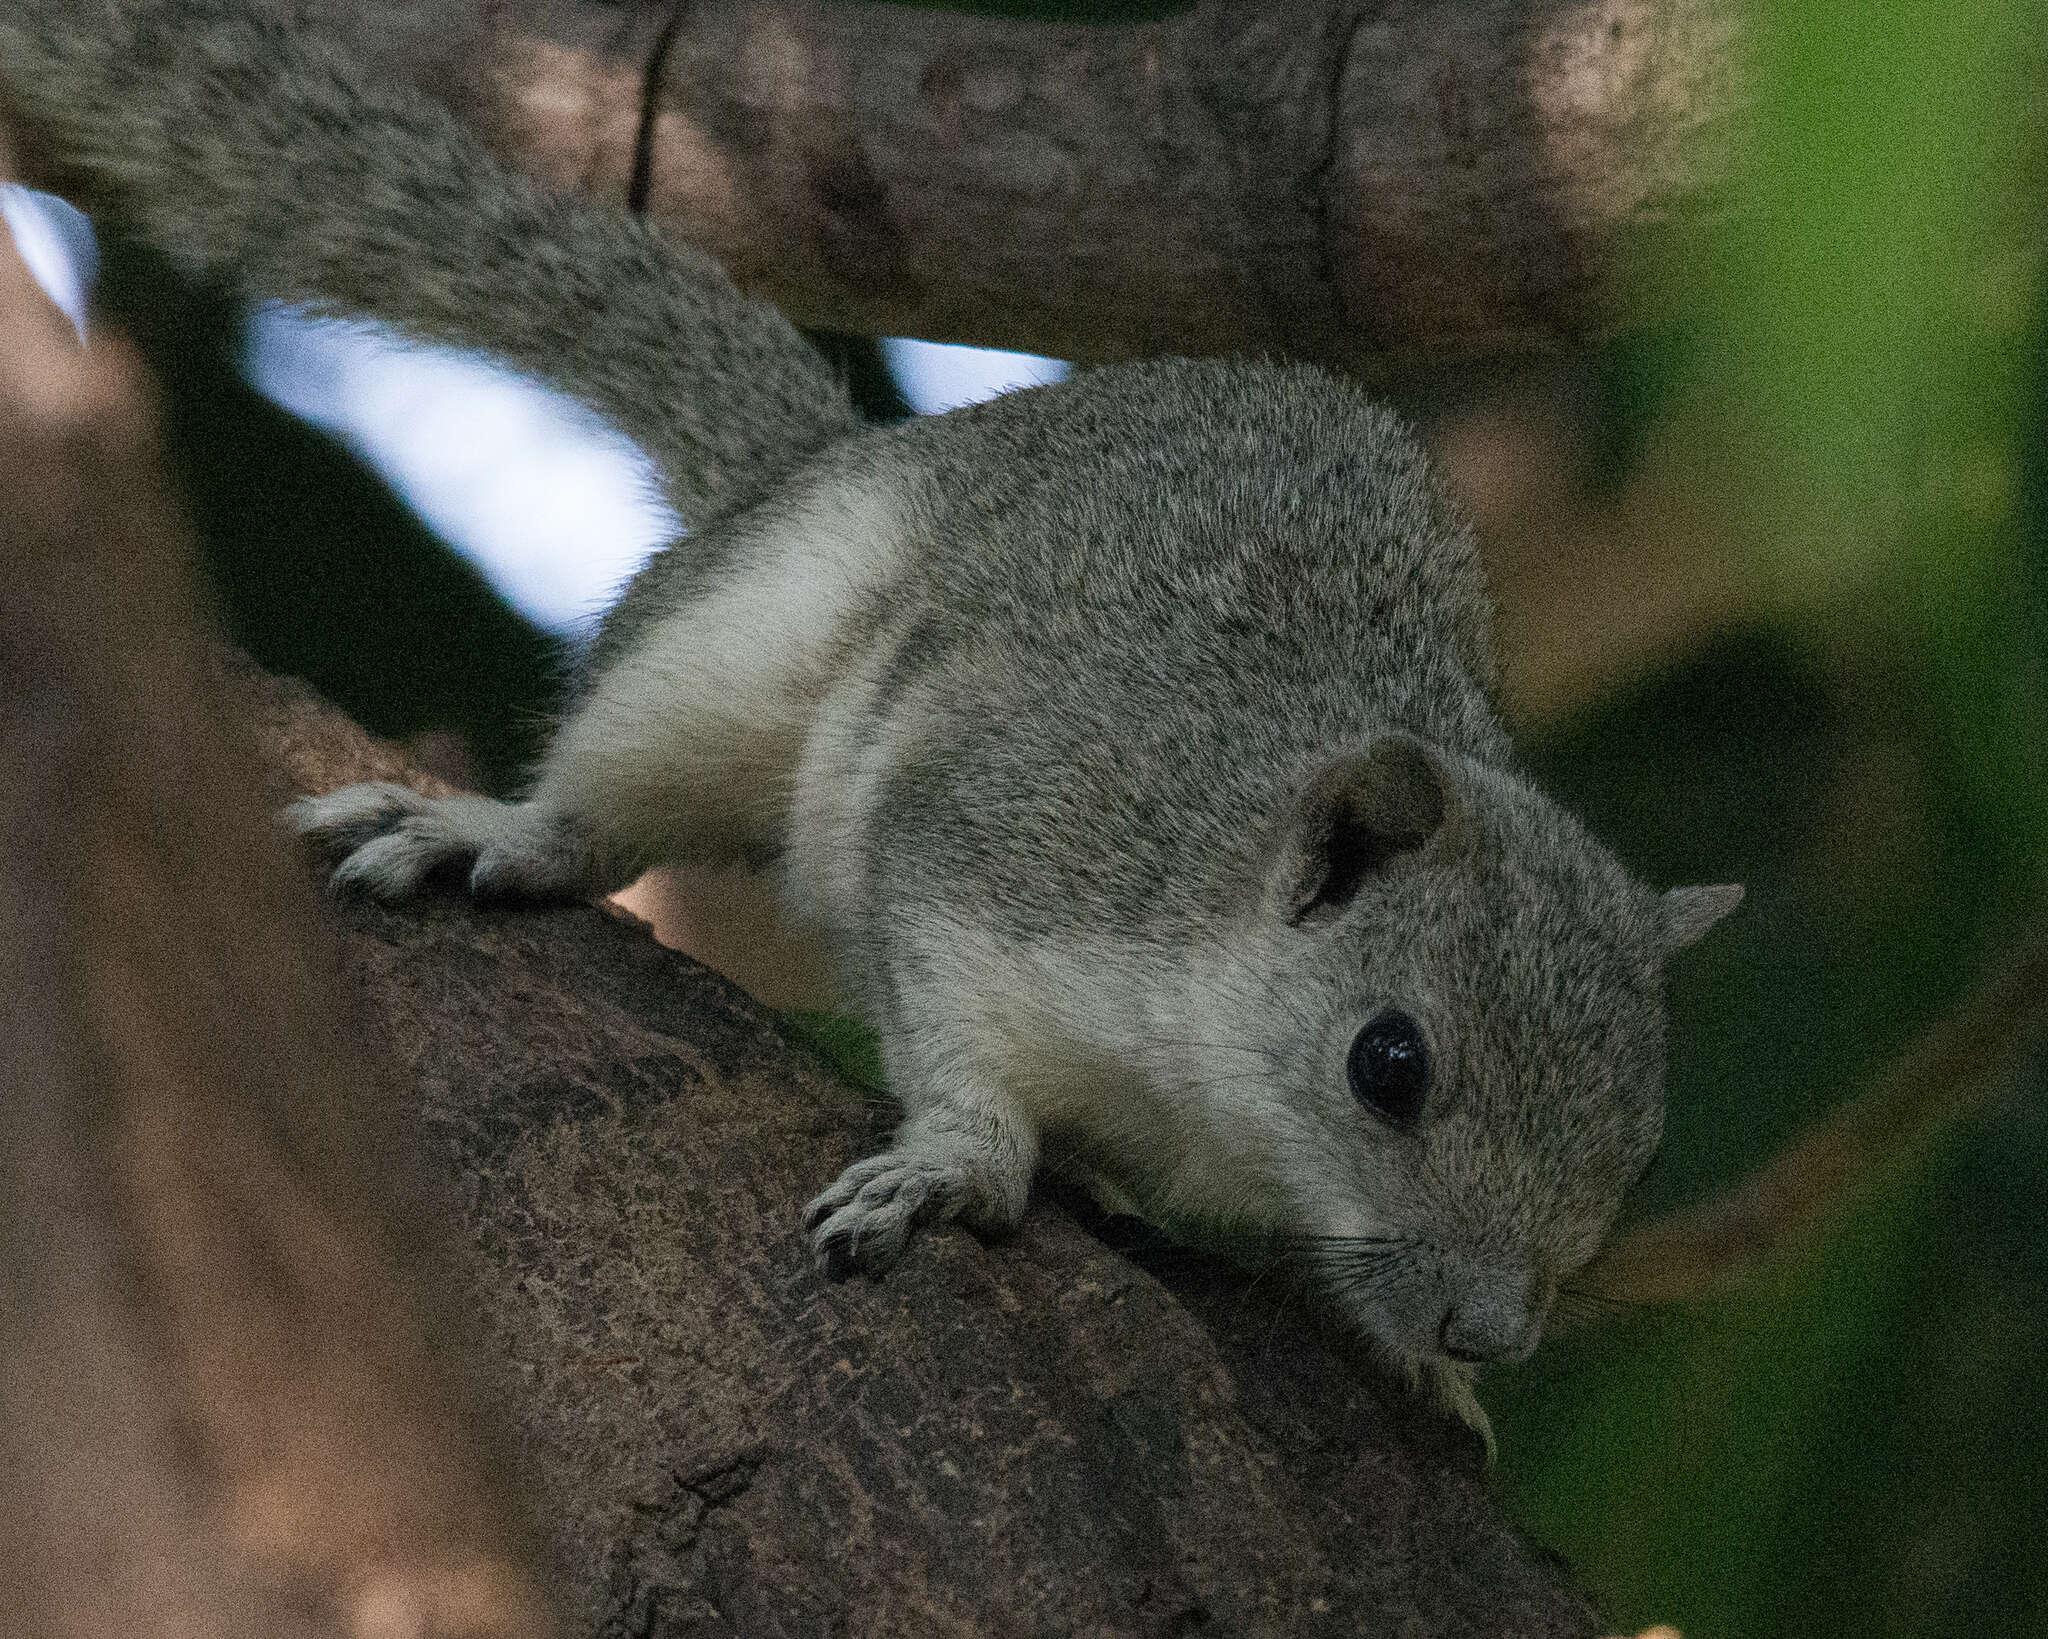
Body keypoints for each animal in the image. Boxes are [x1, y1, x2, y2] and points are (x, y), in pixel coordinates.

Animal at [0, 0, 1736, 1409]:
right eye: (1390, 1062)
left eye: (1649, 1134)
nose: (1489, 1326)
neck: (1217, 1086)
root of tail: (825, 456)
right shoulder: (1013, 841)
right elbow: (950, 1010)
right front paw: (960, 1166)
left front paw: (1427, 1379)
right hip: (731, 654)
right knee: (608, 788)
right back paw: (497, 828)